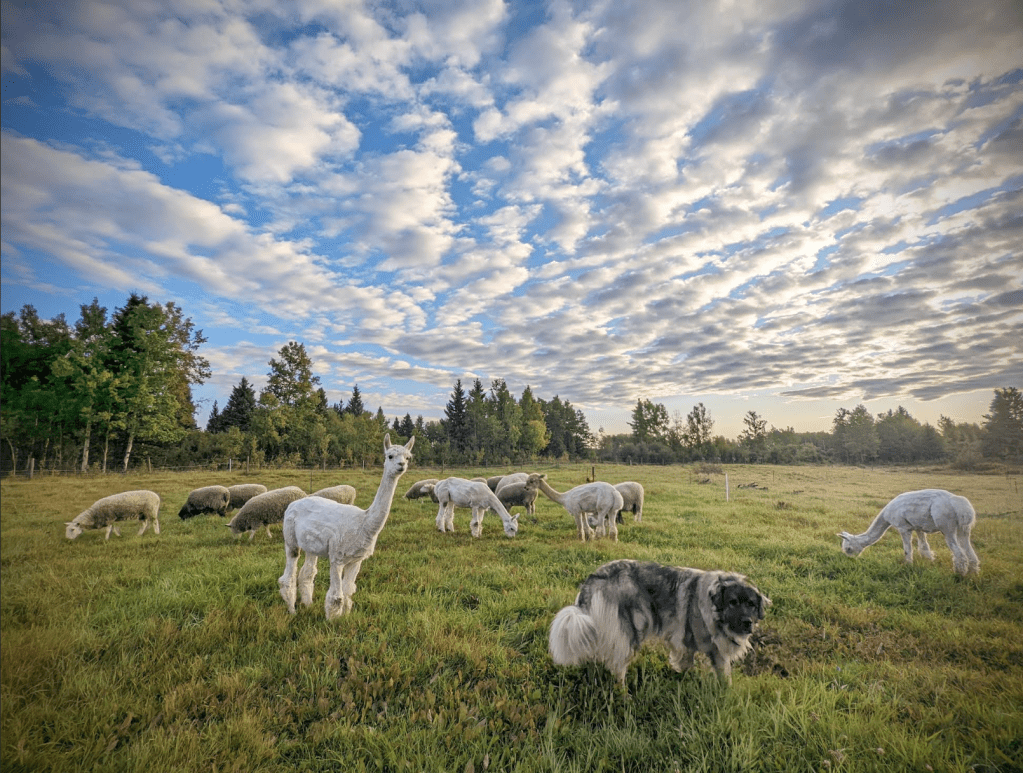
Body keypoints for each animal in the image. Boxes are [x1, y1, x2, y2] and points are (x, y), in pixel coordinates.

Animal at [279, 434, 415, 619]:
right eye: (390, 456)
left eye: (408, 457)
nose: (401, 465)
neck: (363, 524)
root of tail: (294, 503)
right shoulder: (337, 557)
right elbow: (337, 596)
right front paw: (332, 622)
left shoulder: (356, 560)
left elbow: (348, 592)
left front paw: (346, 618)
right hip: (290, 538)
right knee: (288, 575)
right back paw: (292, 610)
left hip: (311, 546)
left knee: (307, 574)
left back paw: (308, 605)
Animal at [838, 489, 980, 576]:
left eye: (849, 549)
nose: (850, 560)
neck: (886, 515)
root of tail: (959, 505)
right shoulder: (918, 527)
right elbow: (924, 547)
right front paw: (929, 561)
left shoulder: (903, 527)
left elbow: (907, 549)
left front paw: (908, 565)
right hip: (963, 529)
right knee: (969, 551)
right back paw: (972, 573)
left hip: (946, 526)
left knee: (959, 554)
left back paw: (959, 575)